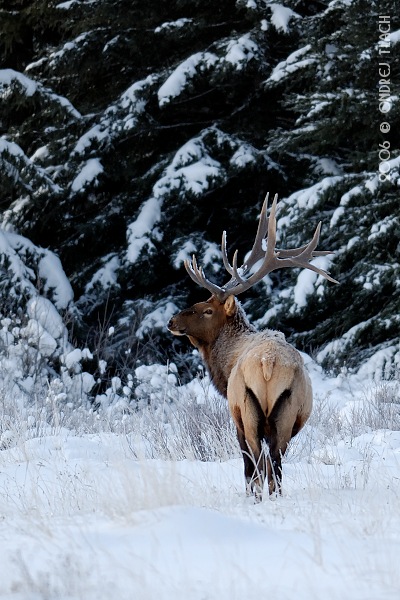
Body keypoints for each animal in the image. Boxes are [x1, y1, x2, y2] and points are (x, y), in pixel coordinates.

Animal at [166, 195, 338, 500]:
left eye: (207, 310)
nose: (172, 321)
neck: (224, 364)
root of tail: (268, 363)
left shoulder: (234, 413)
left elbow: (248, 461)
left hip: (247, 407)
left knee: (256, 459)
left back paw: (256, 496)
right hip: (287, 411)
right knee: (276, 462)